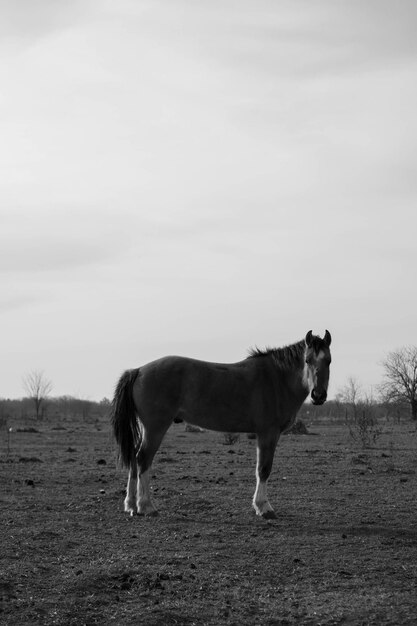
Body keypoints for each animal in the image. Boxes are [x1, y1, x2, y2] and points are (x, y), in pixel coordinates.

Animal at [110, 332, 332, 516]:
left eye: (328, 360)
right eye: (307, 360)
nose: (318, 395)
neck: (276, 379)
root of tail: (138, 370)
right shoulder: (268, 433)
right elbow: (263, 469)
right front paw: (264, 507)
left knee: (134, 457)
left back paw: (131, 504)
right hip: (155, 428)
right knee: (143, 458)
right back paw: (146, 506)